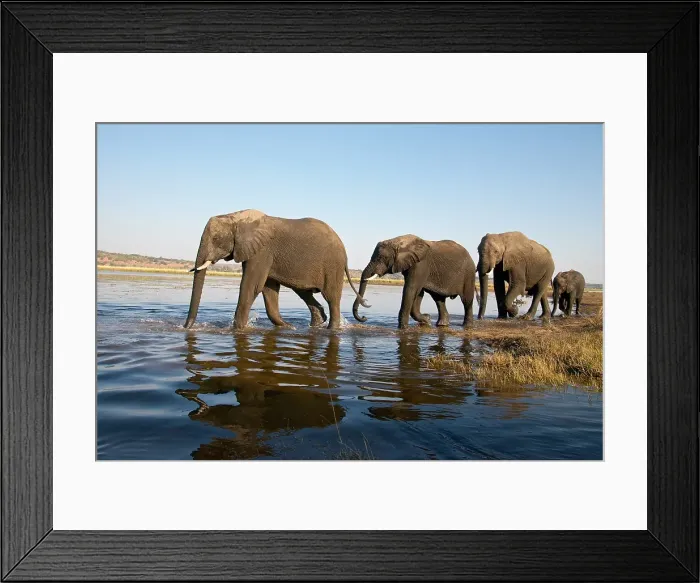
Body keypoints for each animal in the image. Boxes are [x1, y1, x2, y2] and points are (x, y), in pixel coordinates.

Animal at [183, 210, 368, 330]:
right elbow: (268, 289)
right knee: (304, 292)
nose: (185, 327)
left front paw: (238, 329)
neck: (236, 217)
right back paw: (316, 324)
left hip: (332, 265)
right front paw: (288, 327)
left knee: (331, 297)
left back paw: (332, 329)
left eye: (216, 239)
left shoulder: (262, 251)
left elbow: (252, 286)